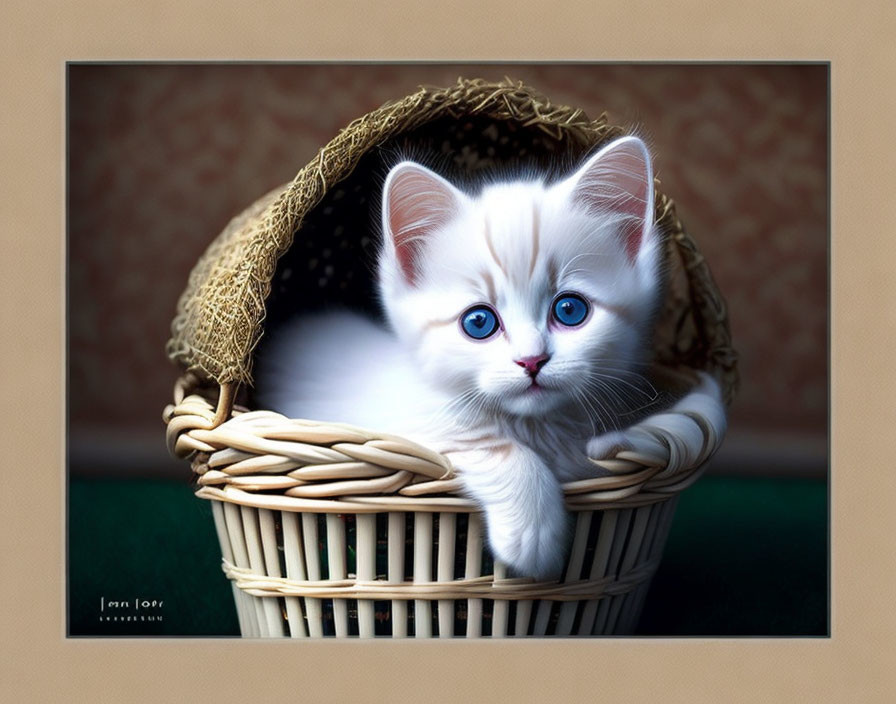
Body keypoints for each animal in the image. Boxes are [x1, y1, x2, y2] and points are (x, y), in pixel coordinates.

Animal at [256, 136, 724, 576]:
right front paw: (534, 534)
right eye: (478, 322)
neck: (538, 429)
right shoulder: (395, 434)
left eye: (570, 310)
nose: (532, 360)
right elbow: (486, 443)